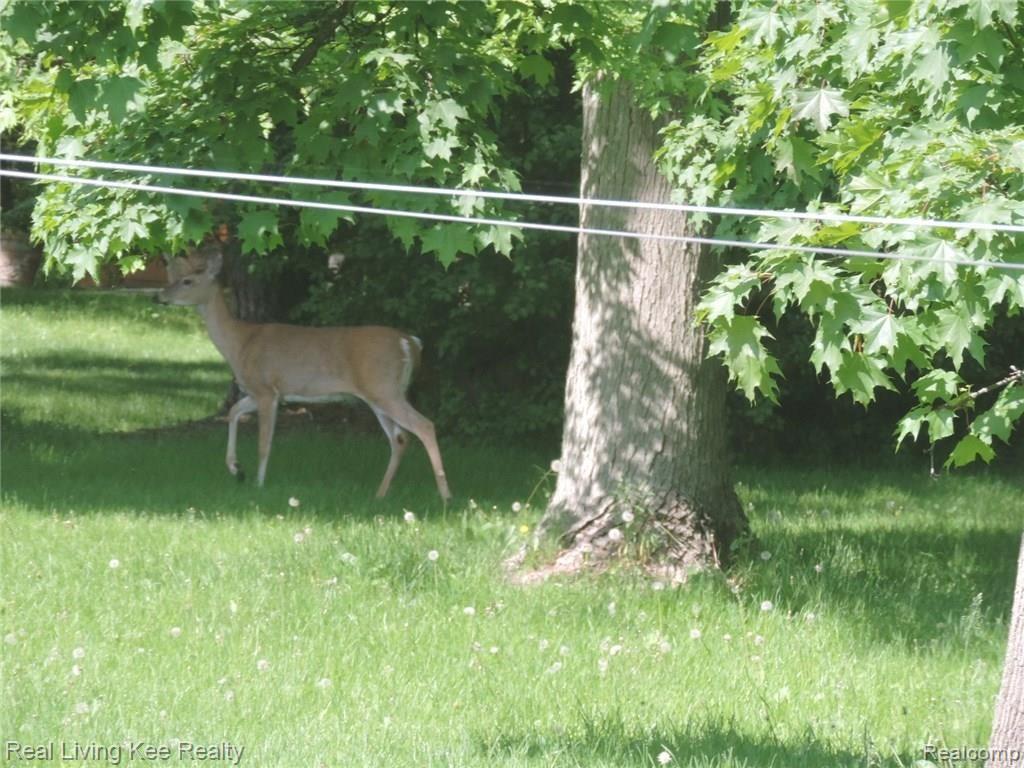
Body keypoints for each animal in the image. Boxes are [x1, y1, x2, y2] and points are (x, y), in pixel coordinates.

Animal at [157, 244, 452, 502]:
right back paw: (380, 494)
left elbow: (264, 442)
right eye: (174, 276)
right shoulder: (262, 391)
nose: (158, 296)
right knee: (400, 439)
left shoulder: (266, 390)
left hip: (384, 388)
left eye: (187, 281)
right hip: (380, 394)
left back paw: (445, 495)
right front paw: (236, 469)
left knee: (424, 426)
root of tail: (409, 341)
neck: (240, 342)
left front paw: (258, 483)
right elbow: (233, 412)